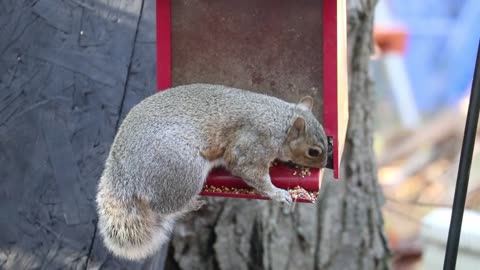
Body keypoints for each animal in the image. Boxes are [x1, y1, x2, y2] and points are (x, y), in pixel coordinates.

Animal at [97, 83, 330, 260]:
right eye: (313, 152)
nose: (324, 165)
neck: (281, 122)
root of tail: (124, 173)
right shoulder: (253, 145)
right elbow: (250, 171)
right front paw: (279, 193)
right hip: (184, 170)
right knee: (163, 207)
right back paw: (190, 204)